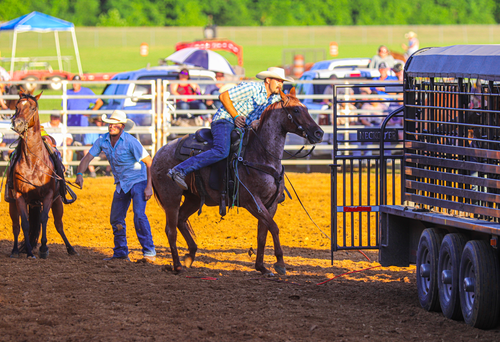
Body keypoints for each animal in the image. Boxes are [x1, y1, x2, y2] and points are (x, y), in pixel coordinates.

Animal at [8, 88, 76, 260]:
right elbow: (25, 224)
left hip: (57, 202)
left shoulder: (49, 195)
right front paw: (29, 251)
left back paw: (71, 248)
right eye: (17, 106)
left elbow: (44, 219)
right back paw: (15, 250)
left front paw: (44, 248)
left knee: (59, 225)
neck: (32, 162)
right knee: (16, 226)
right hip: (13, 203)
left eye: (32, 108)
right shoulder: (19, 196)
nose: (18, 123)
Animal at [151, 89, 324, 276]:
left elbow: (263, 233)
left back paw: (190, 256)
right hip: (171, 198)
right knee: (171, 230)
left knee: (181, 220)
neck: (261, 155)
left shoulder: (270, 204)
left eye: (306, 108)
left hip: (193, 198)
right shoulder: (252, 202)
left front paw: (262, 267)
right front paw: (280, 263)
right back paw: (177, 265)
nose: (319, 133)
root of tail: (158, 153)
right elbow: (274, 227)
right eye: (296, 110)